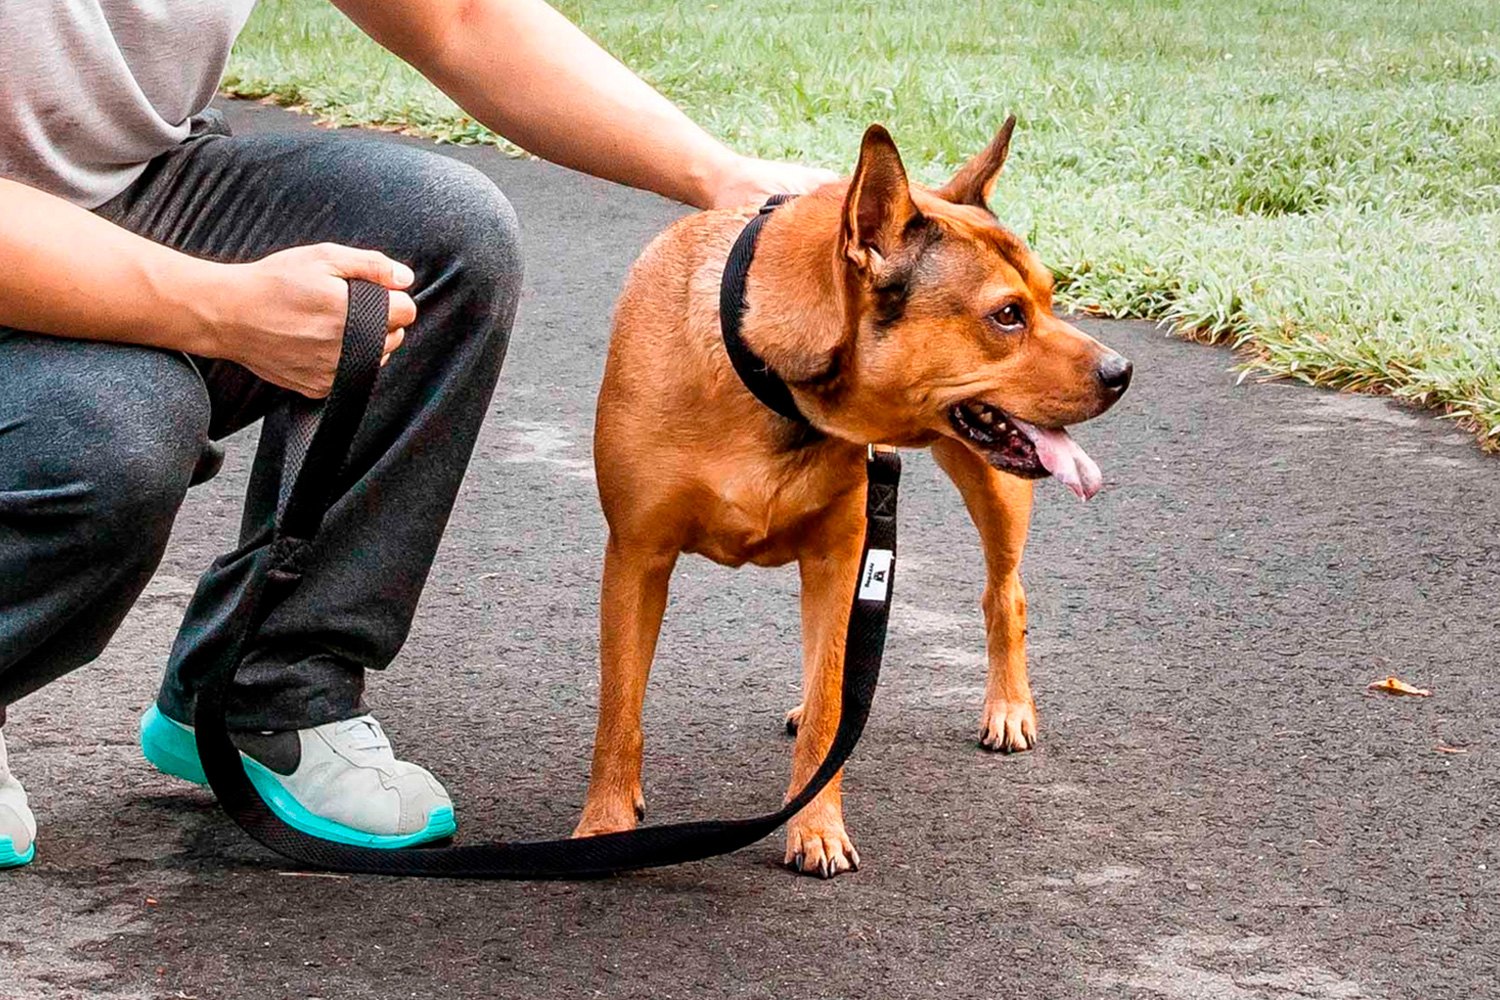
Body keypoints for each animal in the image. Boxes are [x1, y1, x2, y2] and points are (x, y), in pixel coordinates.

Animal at [570, 119, 1128, 875]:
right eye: (1009, 316)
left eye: (1051, 296)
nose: (1122, 371)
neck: (765, 382)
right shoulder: (637, 558)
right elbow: (620, 708)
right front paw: (605, 823)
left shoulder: (844, 560)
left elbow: (833, 704)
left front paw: (815, 827)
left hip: (996, 491)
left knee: (1004, 593)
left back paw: (1009, 705)